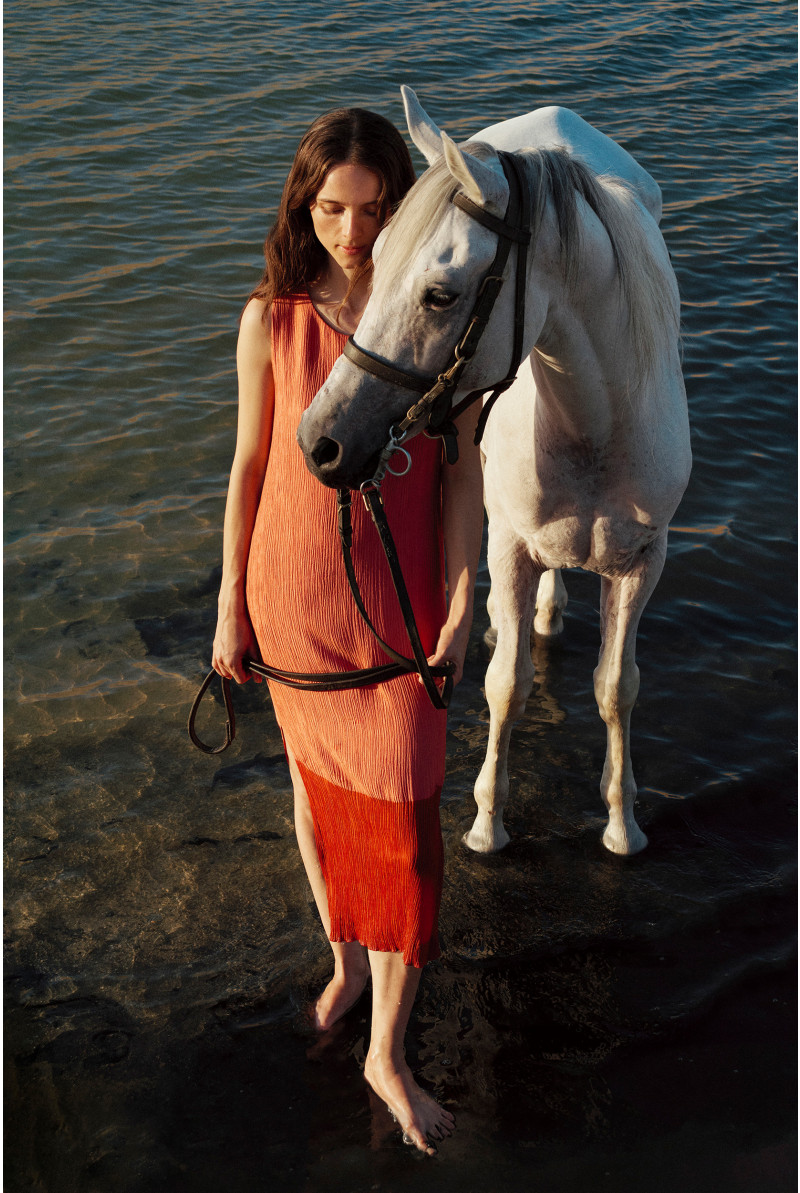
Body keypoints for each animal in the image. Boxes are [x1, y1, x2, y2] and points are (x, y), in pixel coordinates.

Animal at [296, 90, 691, 858]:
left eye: (441, 296)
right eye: (376, 255)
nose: (320, 440)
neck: (595, 425)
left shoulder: (644, 560)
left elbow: (617, 687)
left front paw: (621, 823)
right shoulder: (508, 545)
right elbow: (506, 683)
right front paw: (487, 822)